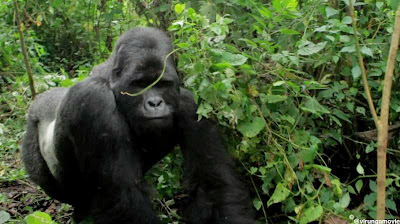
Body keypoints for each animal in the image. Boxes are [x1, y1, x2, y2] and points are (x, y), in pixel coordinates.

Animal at [21, 27, 255, 223]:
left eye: (162, 84)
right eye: (139, 84)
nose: (155, 103)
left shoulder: (191, 106)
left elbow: (213, 186)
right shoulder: (94, 100)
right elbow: (123, 197)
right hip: (32, 130)